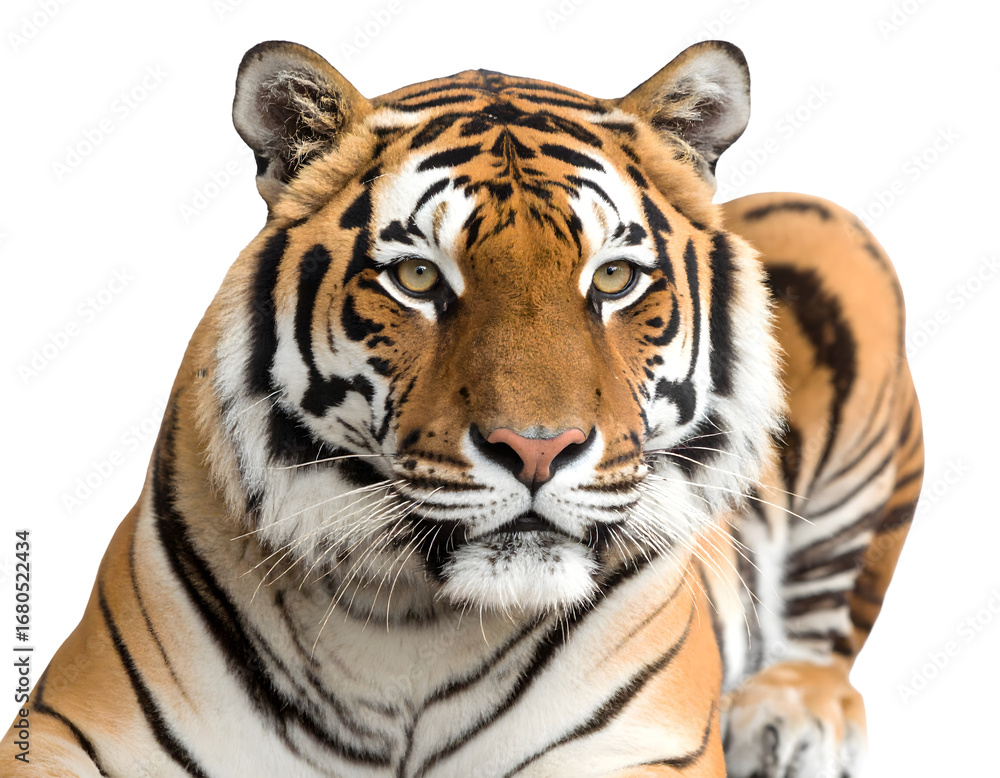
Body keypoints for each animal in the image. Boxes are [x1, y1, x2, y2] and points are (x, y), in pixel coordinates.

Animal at [3, 39, 922, 777]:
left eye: (614, 278)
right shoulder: (65, 727)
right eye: (417, 277)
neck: (401, 628)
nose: (538, 449)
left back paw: (789, 718)